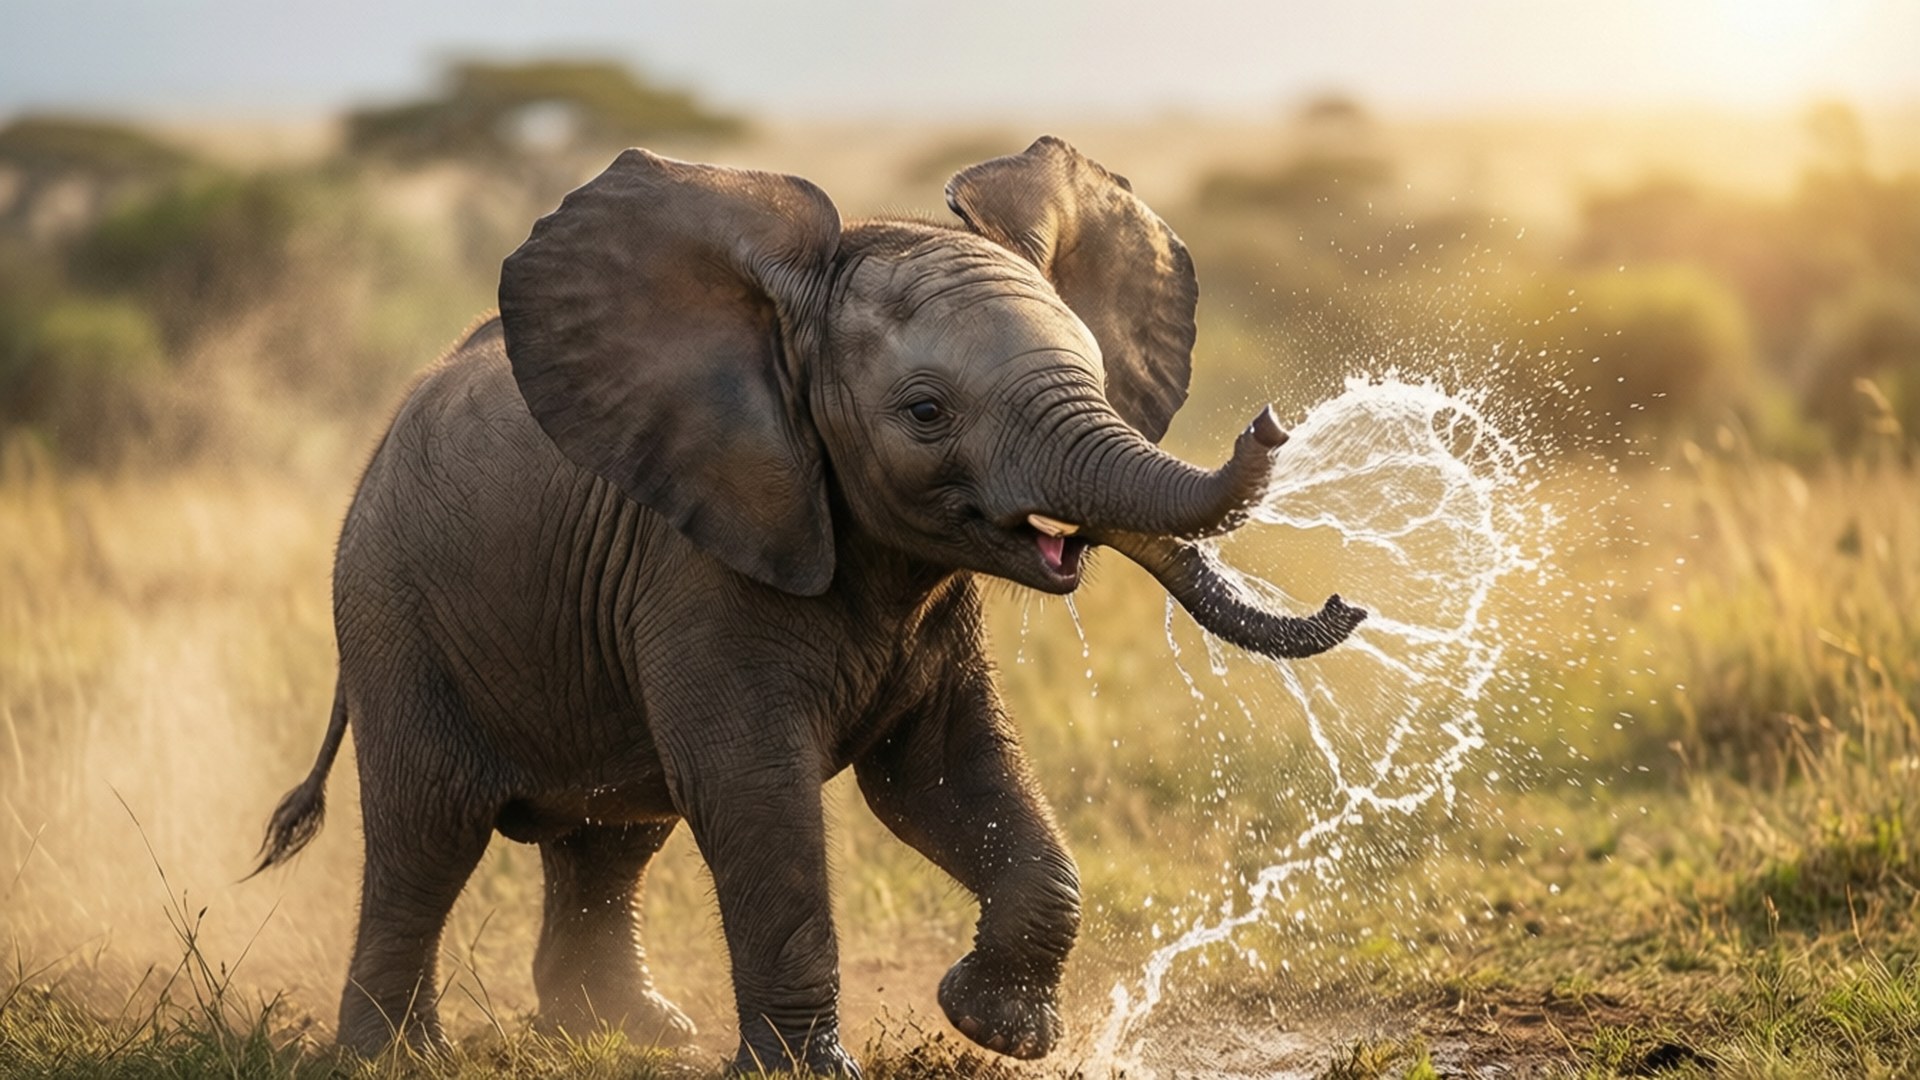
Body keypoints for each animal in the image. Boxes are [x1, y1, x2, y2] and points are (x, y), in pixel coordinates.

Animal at [253, 136, 1365, 1075]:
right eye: (926, 413)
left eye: (1097, 376)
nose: (1273, 422)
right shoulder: (699, 562)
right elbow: (753, 792)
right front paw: (813, 1070)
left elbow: (943, 778)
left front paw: (996, 1027)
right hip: (393, 611)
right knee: (428, 830)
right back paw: (395, 1057)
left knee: (613, 833)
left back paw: (629, 1035)